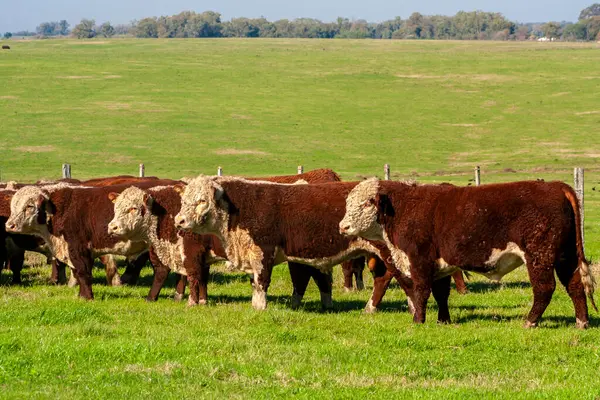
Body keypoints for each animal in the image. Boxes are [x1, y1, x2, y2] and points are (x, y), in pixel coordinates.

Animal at [340, 180, 596, 330]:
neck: (405, 208)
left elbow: (421, 291)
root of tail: (556, 185)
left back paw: (529, 321)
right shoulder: (439, 265)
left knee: (545, 288)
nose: (343, 226)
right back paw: (581, 322)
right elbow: (441, 293)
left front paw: (418, 321)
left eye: (367, 202)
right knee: (574, 285)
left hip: (539, 256)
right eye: (348, 202)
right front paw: (443, 320)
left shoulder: (420, 259)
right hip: (565, 256)